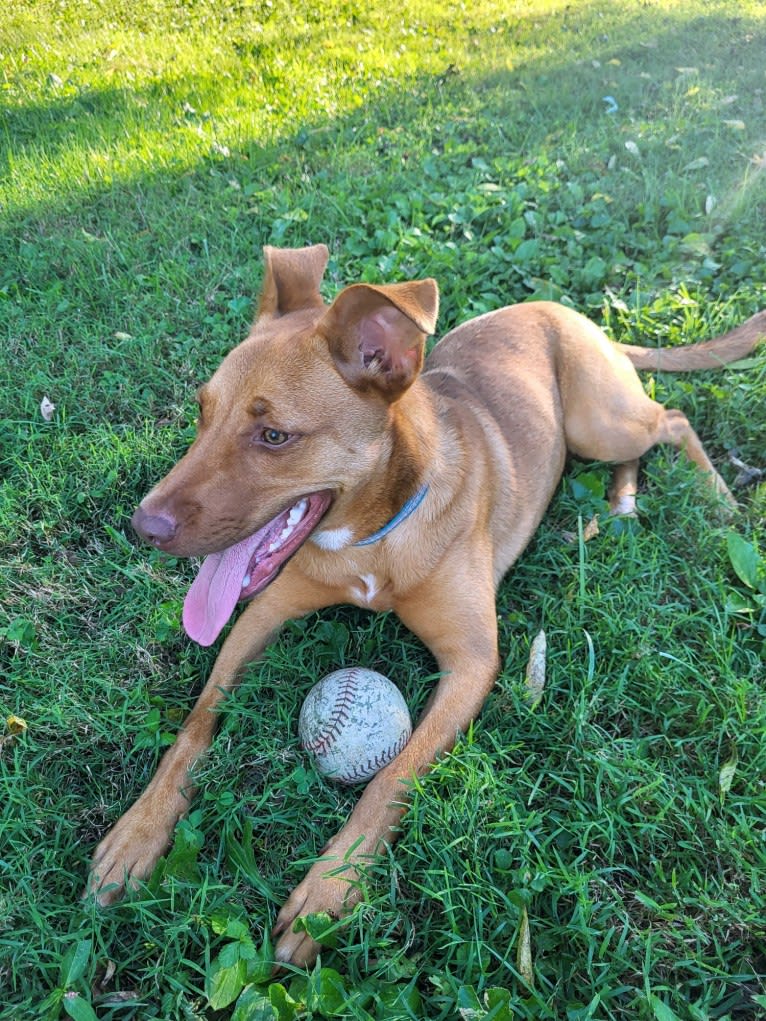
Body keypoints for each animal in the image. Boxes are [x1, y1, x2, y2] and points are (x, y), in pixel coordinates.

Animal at [88, 245, 763, 963]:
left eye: (274, 436)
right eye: (201, 412)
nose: (142, 525)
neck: (372, 539)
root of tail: (563, 311)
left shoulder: (472, 661)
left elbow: (393, 777)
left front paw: (329, 889)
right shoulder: (259, 616)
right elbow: (195, 724)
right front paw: (138, 832)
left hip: (600, 422)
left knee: (672, 419)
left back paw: (717, 496)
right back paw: (623, 500)